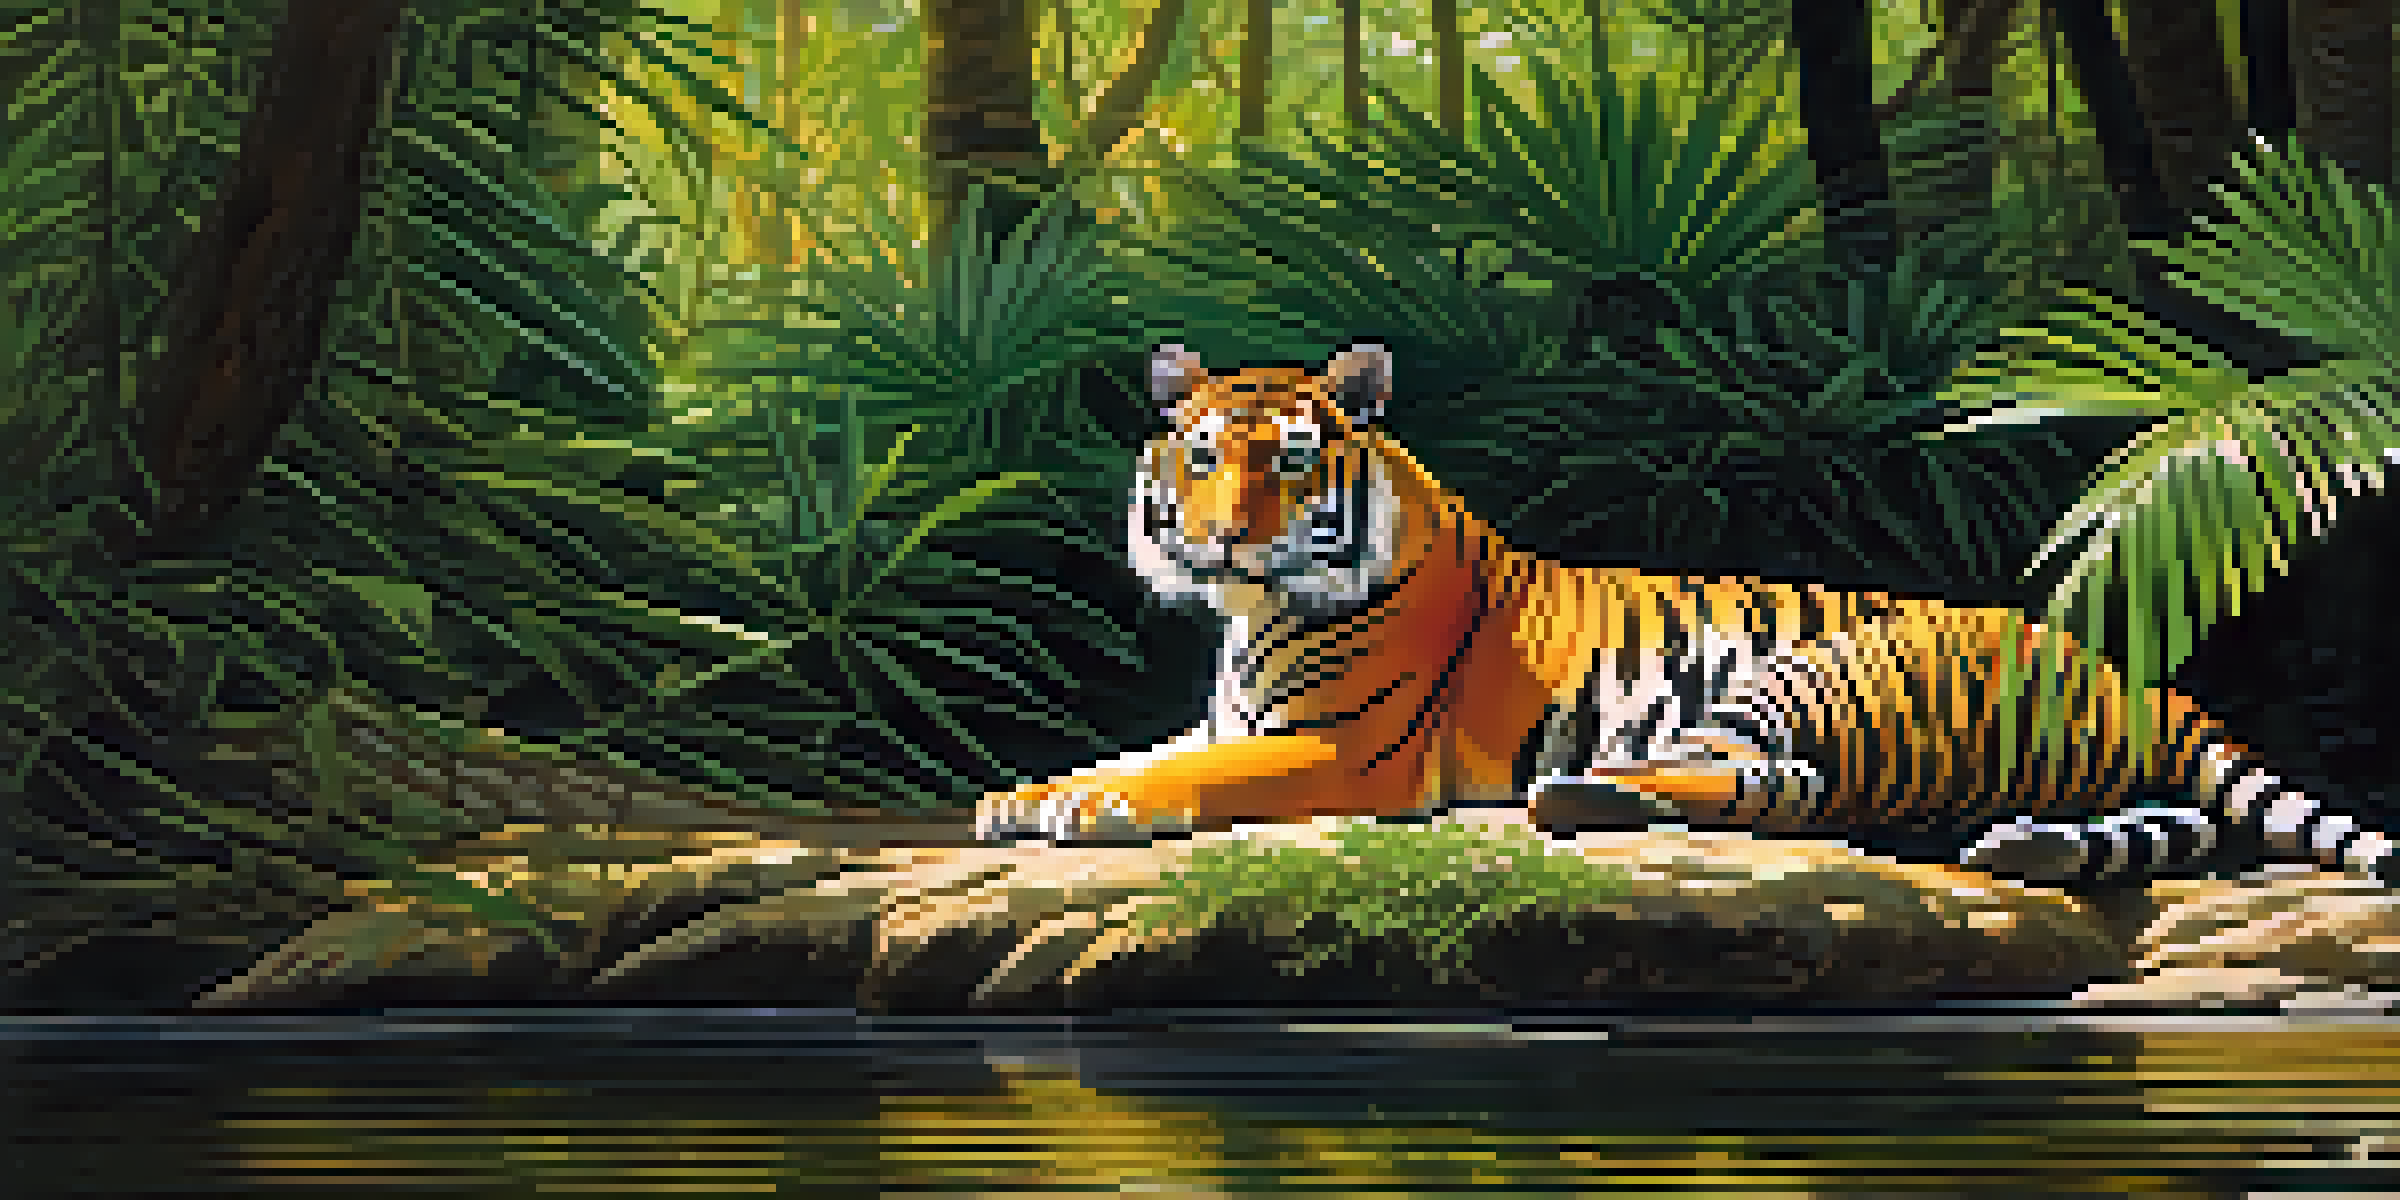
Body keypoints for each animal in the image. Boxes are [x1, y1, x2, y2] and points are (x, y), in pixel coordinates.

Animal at [975, 340, 2400, 888]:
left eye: (1285, 460)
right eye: (1202, 453)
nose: (1222, 533)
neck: (1250, 612)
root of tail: (2124, 669)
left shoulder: (1341, 750)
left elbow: (1189, 777)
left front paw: (1090, 811)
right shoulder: (1229, 714)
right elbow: (1142, 749)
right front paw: (1022, 796)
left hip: (1814, 674)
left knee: (1789, 786)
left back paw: (1581, 794)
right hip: (2083, 776)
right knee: (2160, 829)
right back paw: (2029, 851)